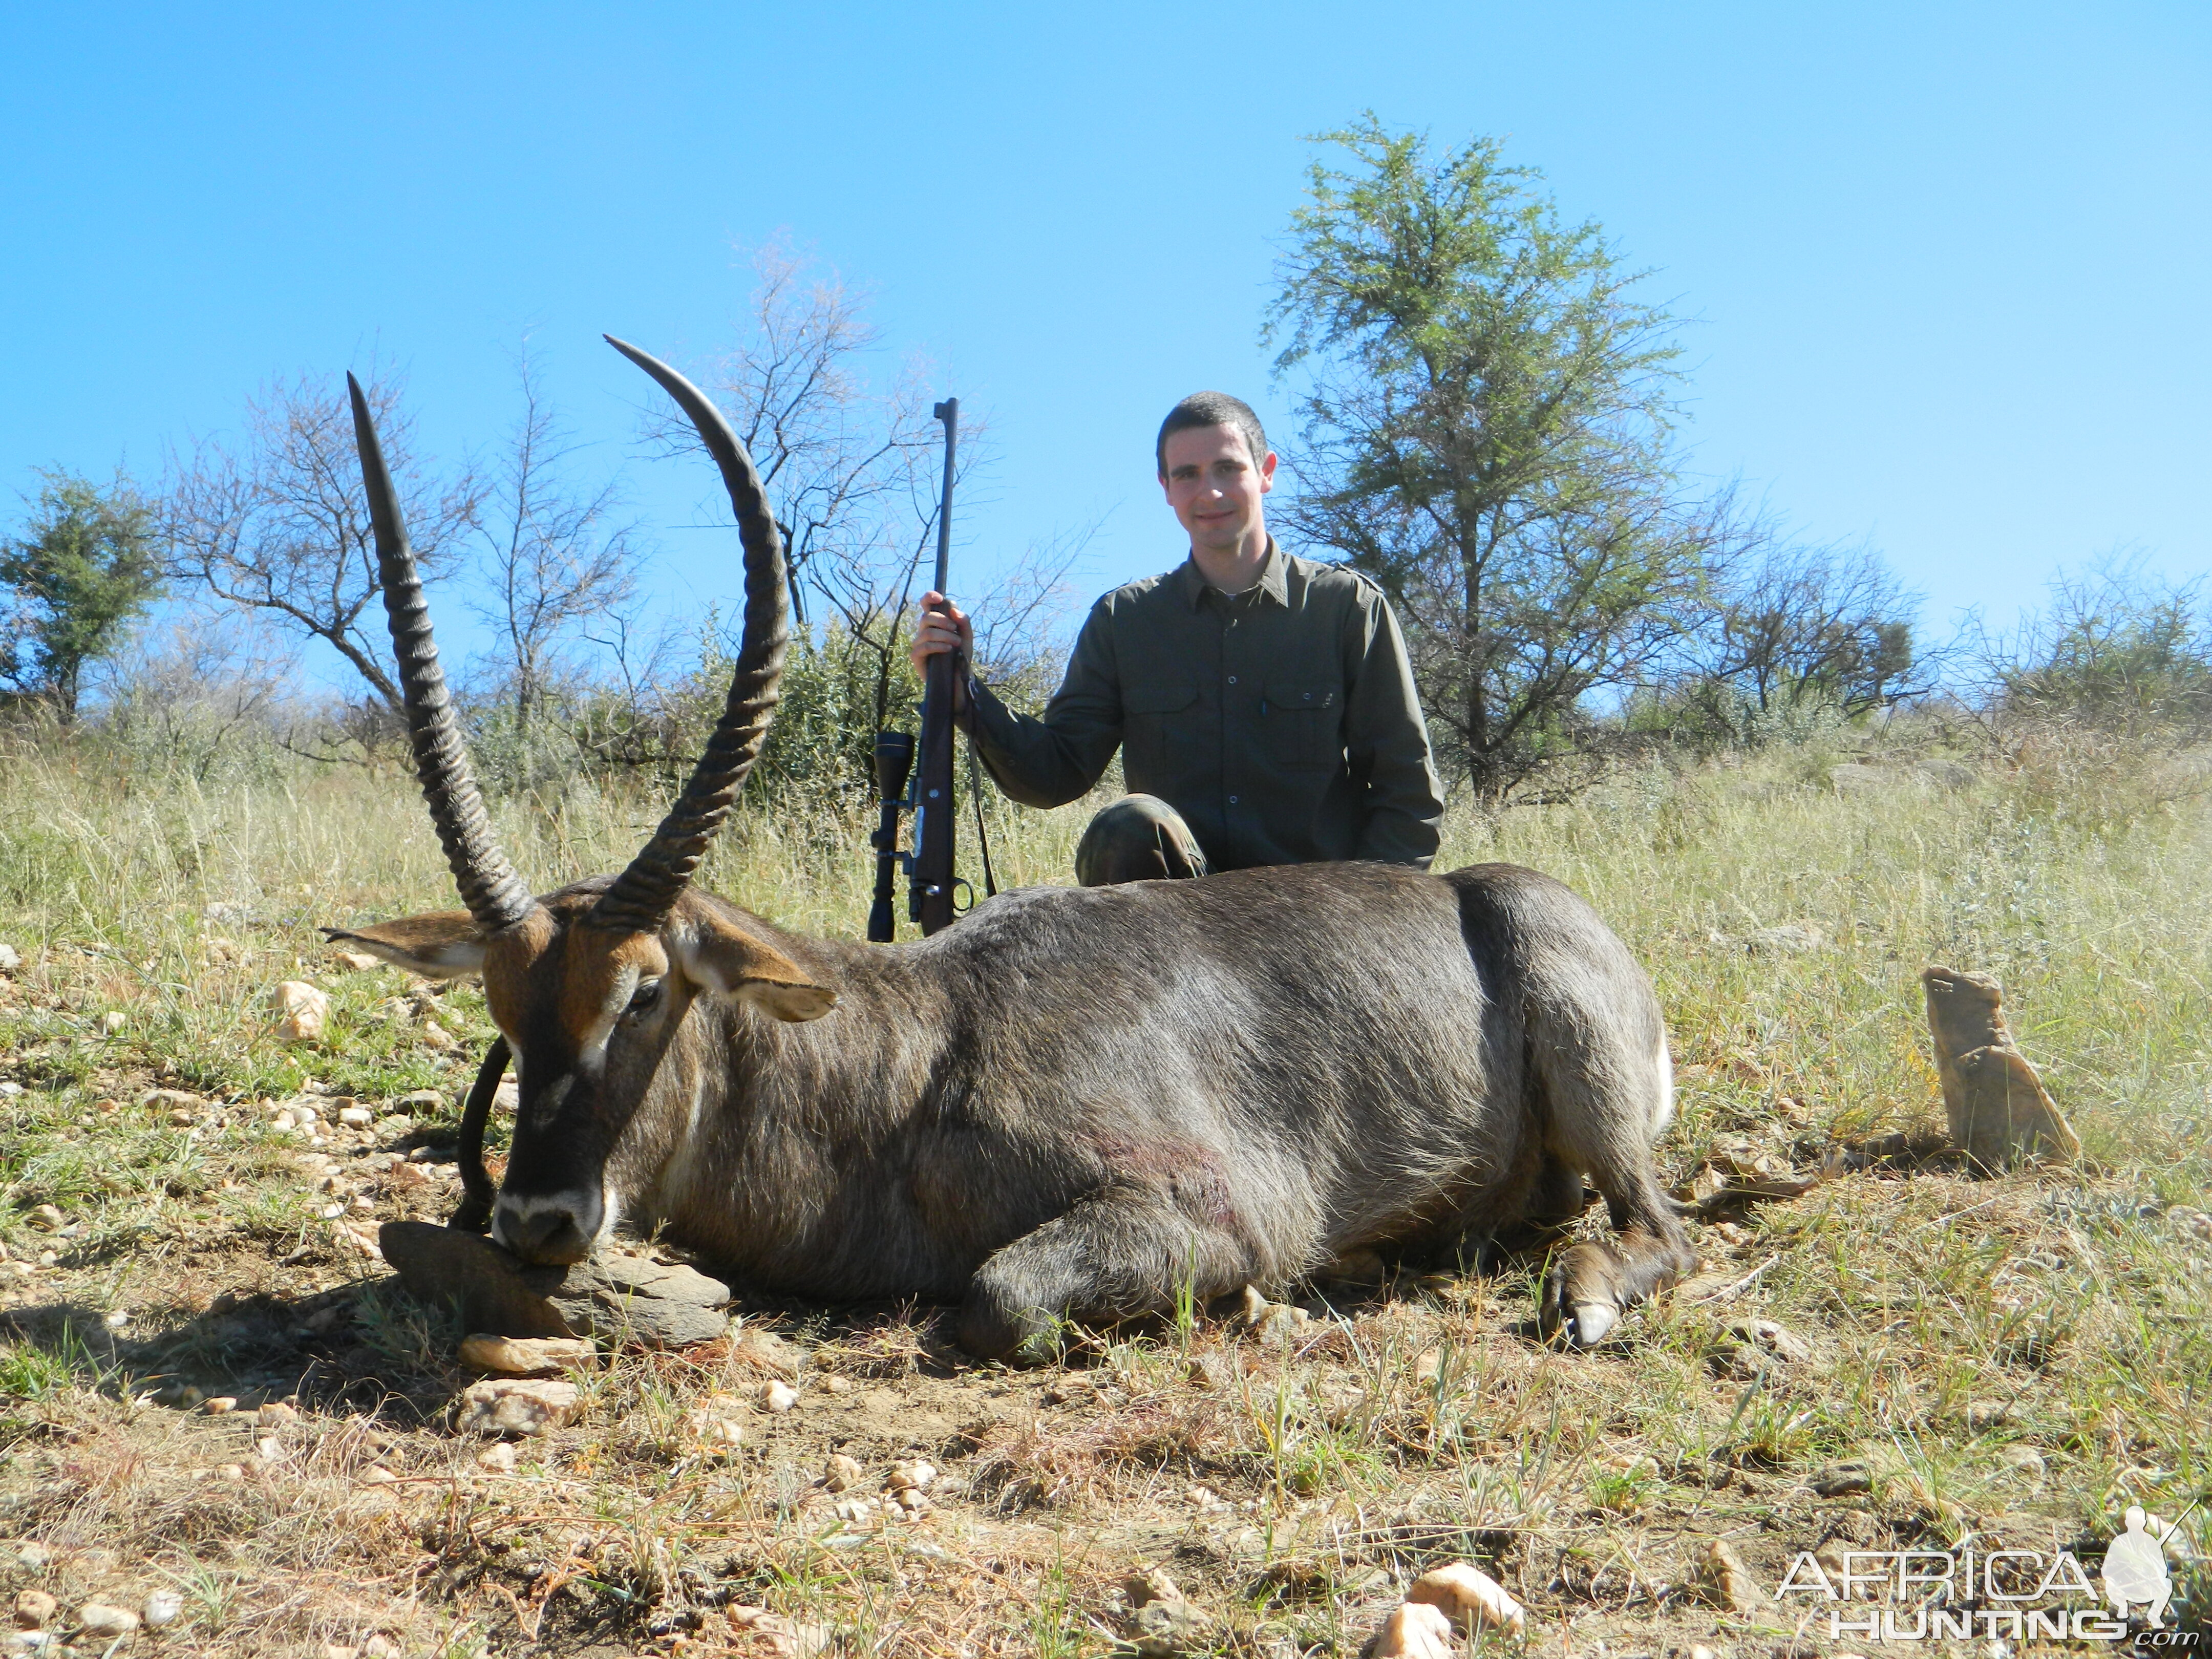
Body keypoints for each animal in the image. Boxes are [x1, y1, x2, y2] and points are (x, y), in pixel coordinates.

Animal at [327, 338, 1690, 1363]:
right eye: (502, 1007)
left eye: (647, 990)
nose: (537, 1216)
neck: (916, 1055)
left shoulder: (1211, 1208)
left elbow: (997, 1296)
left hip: (1590, 1072)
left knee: (1659, 1225)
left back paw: (1582, 1297)